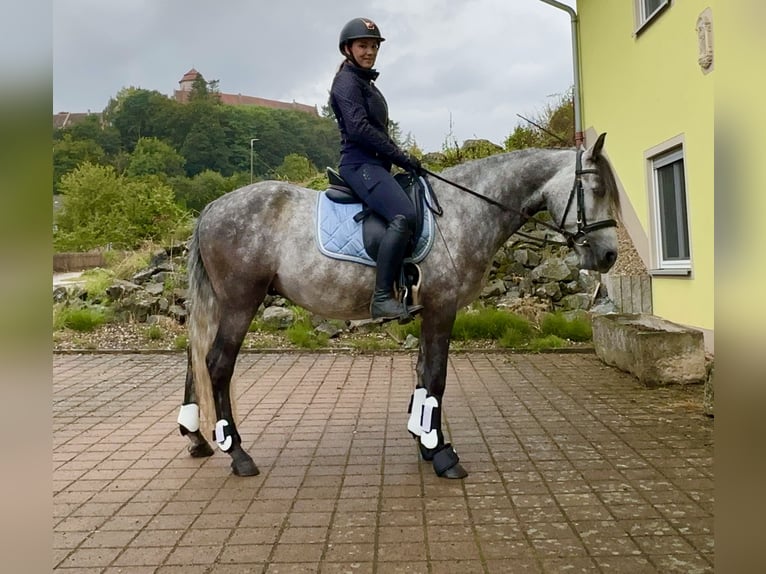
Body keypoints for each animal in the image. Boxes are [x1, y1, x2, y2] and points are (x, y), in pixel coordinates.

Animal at [177, 134, 620, 482]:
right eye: (597, 189)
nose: (610, 255)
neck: (463, 210)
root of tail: (212, 208)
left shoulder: (429, 311)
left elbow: (424, 373)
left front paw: (424, 441)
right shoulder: (442, 308)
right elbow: (436, 377)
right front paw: (442, 455)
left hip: (222, 302)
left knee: (196, 359)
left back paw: (197, 438)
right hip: (240, 301)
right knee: (217, 364)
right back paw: (237, 454)